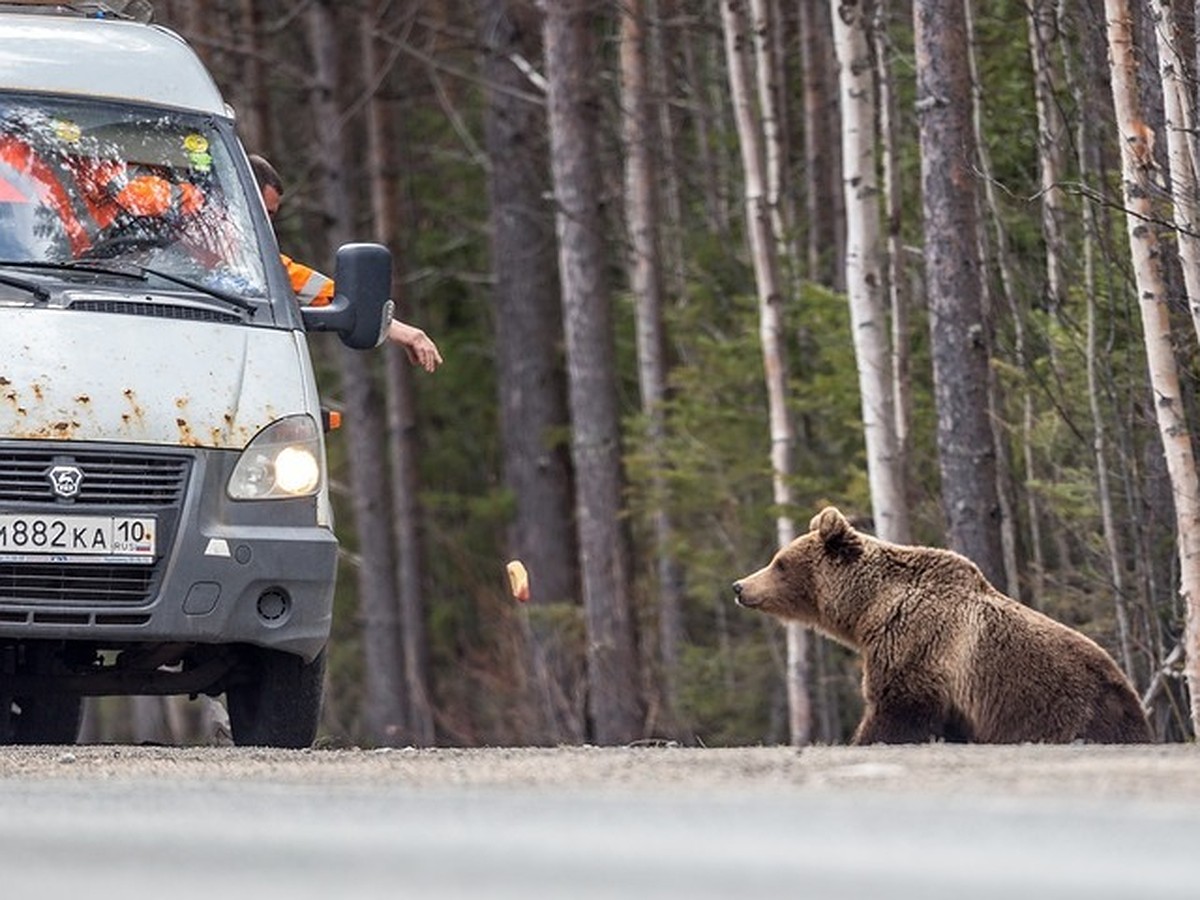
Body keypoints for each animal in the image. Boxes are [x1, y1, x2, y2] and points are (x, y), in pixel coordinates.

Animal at [729, 508, 1152, 748]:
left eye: (779, 563)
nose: (739, 586)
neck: (868, 609)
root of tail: (1133, 699)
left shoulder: (914, 645)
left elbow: (895, 709)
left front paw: (862, 739)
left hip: (1068, 707)